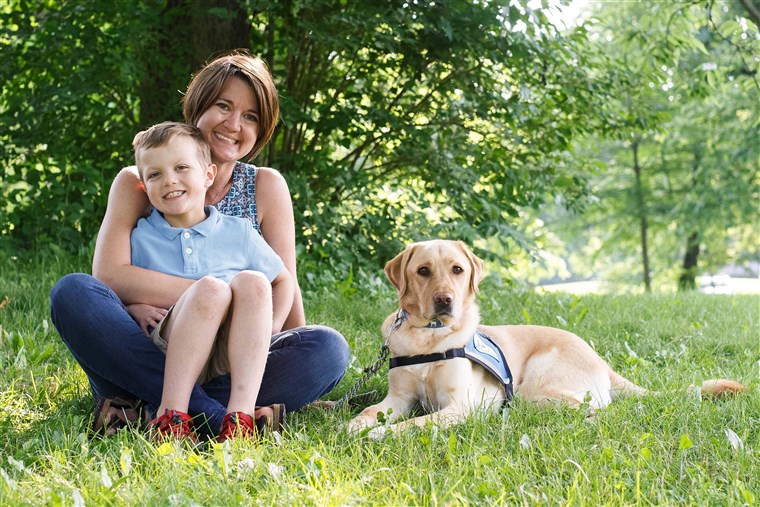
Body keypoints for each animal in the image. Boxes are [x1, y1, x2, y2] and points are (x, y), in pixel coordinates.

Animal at [348, 240, 748, 438]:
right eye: (423, 271)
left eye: (457, 270)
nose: (445, 301)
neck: (429, 339)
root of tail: (600, 359)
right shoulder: (399, 398)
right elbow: (371, 409)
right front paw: (357, 424)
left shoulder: (462, 406)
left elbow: (417, 423)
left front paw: (382, 434)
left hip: (534, 388)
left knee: (599, 409)